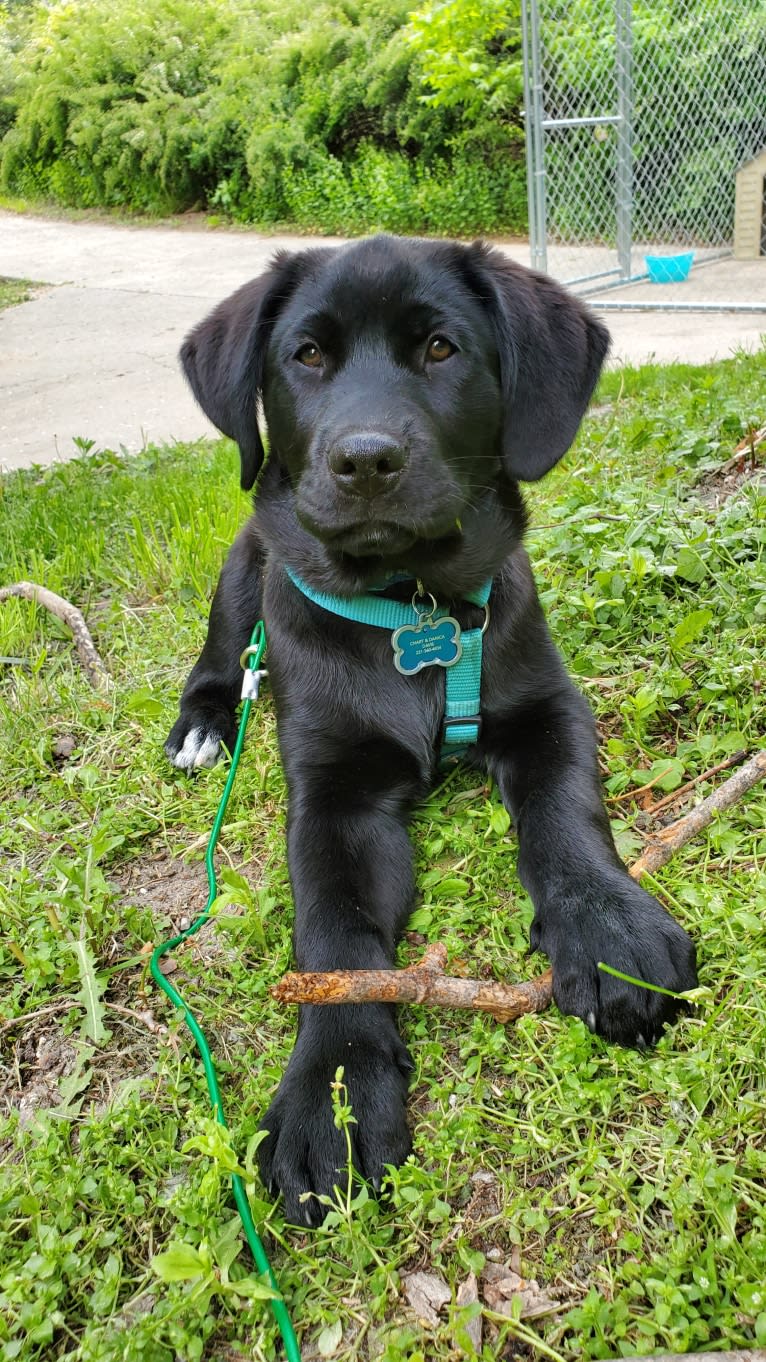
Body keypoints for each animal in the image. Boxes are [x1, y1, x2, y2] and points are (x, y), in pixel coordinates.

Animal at [164, 234, 695, 1225]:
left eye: (441, 349)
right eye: (307, 356)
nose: (365, 460)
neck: (412, 607)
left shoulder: (548, 710)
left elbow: (567, 818)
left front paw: (609, 928)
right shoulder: (329, 795)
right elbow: (333, 932)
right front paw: (333, 1088)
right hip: (237, 575)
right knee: (219, 662)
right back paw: (202, 726)